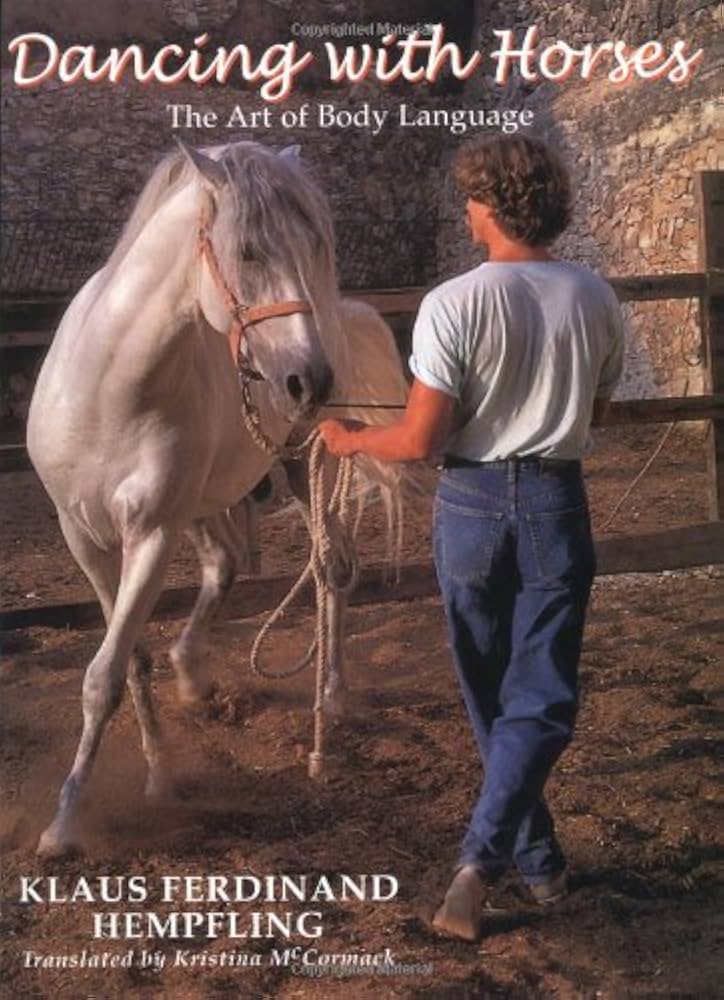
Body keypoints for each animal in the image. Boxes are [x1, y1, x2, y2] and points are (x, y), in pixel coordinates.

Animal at [26, 139, 410, 858]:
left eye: (316, 247)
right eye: (250, 251)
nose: (309, 380)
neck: (110, 391)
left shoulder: (152, 535)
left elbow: (102, 676)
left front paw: (65, 822)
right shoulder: (84, 537)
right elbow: (129, 660)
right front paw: (156, 774)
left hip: (301, 468)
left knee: (332, 567)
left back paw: (333, 698)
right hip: (206, 505)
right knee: (225, 566)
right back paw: (194, 677)